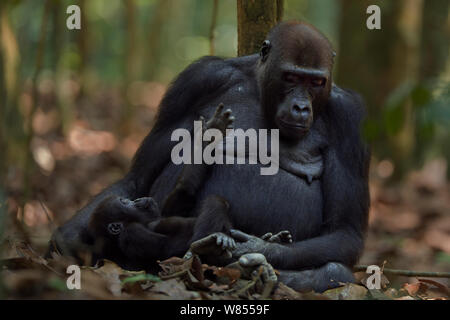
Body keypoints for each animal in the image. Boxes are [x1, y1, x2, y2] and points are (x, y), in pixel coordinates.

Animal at [89, 104, 292, 270]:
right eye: (125, 202)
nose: (140, 200)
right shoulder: (132, 233)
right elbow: (174, 247)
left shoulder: (163, 210)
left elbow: (183, 192)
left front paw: (209, 137)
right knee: (215, 205)